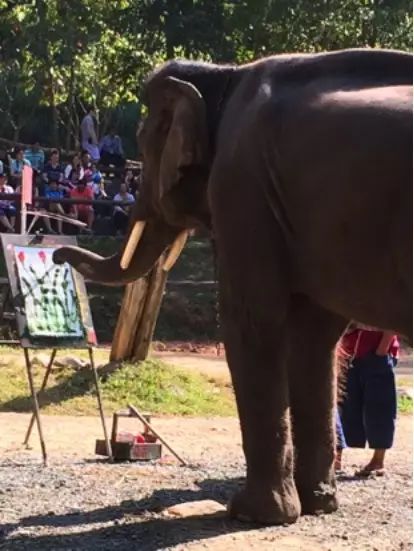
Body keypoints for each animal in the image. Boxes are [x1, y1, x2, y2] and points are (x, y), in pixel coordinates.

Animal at [53, 50, 412, 528]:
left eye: (145, 144)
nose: (57, 255)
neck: (225, 75)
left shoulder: (241, 185)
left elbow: (251, 316)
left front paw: (250, 513)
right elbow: (313, 334)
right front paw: (317, 505)